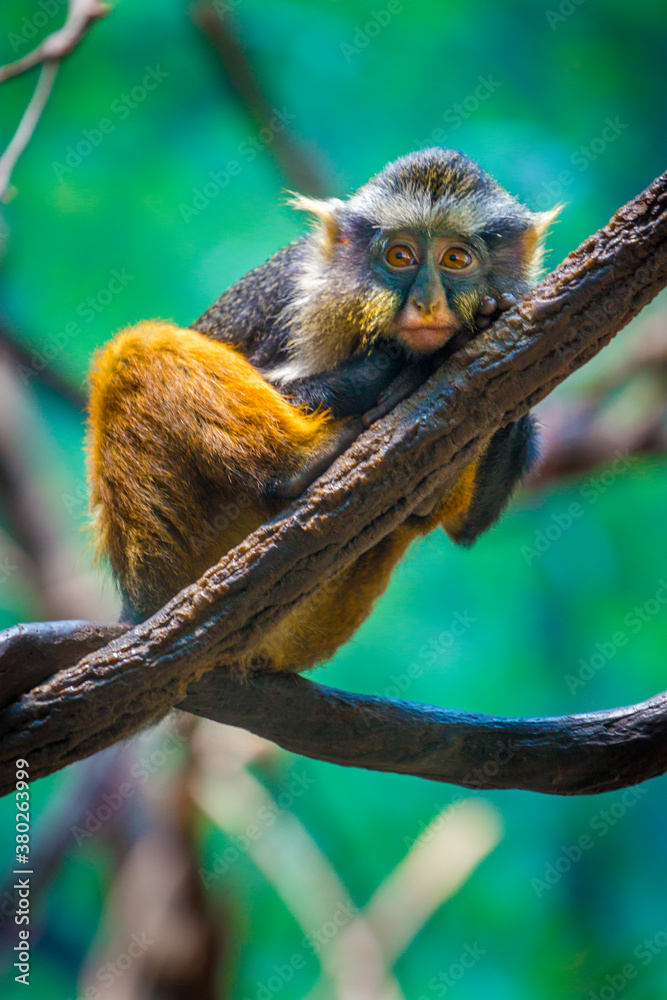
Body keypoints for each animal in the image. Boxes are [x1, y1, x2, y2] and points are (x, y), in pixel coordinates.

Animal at [87, 148, 559, 672]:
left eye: (456, 259)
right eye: (400, 257)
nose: (427, 303)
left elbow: (464, 525)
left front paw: (492, 325)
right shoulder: (293, 301)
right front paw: (400, 367)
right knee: (134, 351)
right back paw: (299, 465)